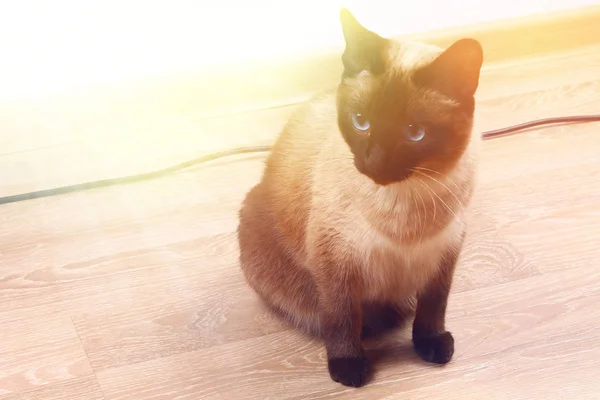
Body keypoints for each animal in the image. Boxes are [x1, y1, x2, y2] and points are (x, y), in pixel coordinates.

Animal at [237, 7, 486, 388]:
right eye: (360, 122)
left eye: (415, 134)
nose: (374, 163)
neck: (405, 203)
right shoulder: (335, 261)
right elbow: (340, 317)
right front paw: (349, 367)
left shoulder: (444, 251)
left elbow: (434, 304)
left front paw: (430, 345)